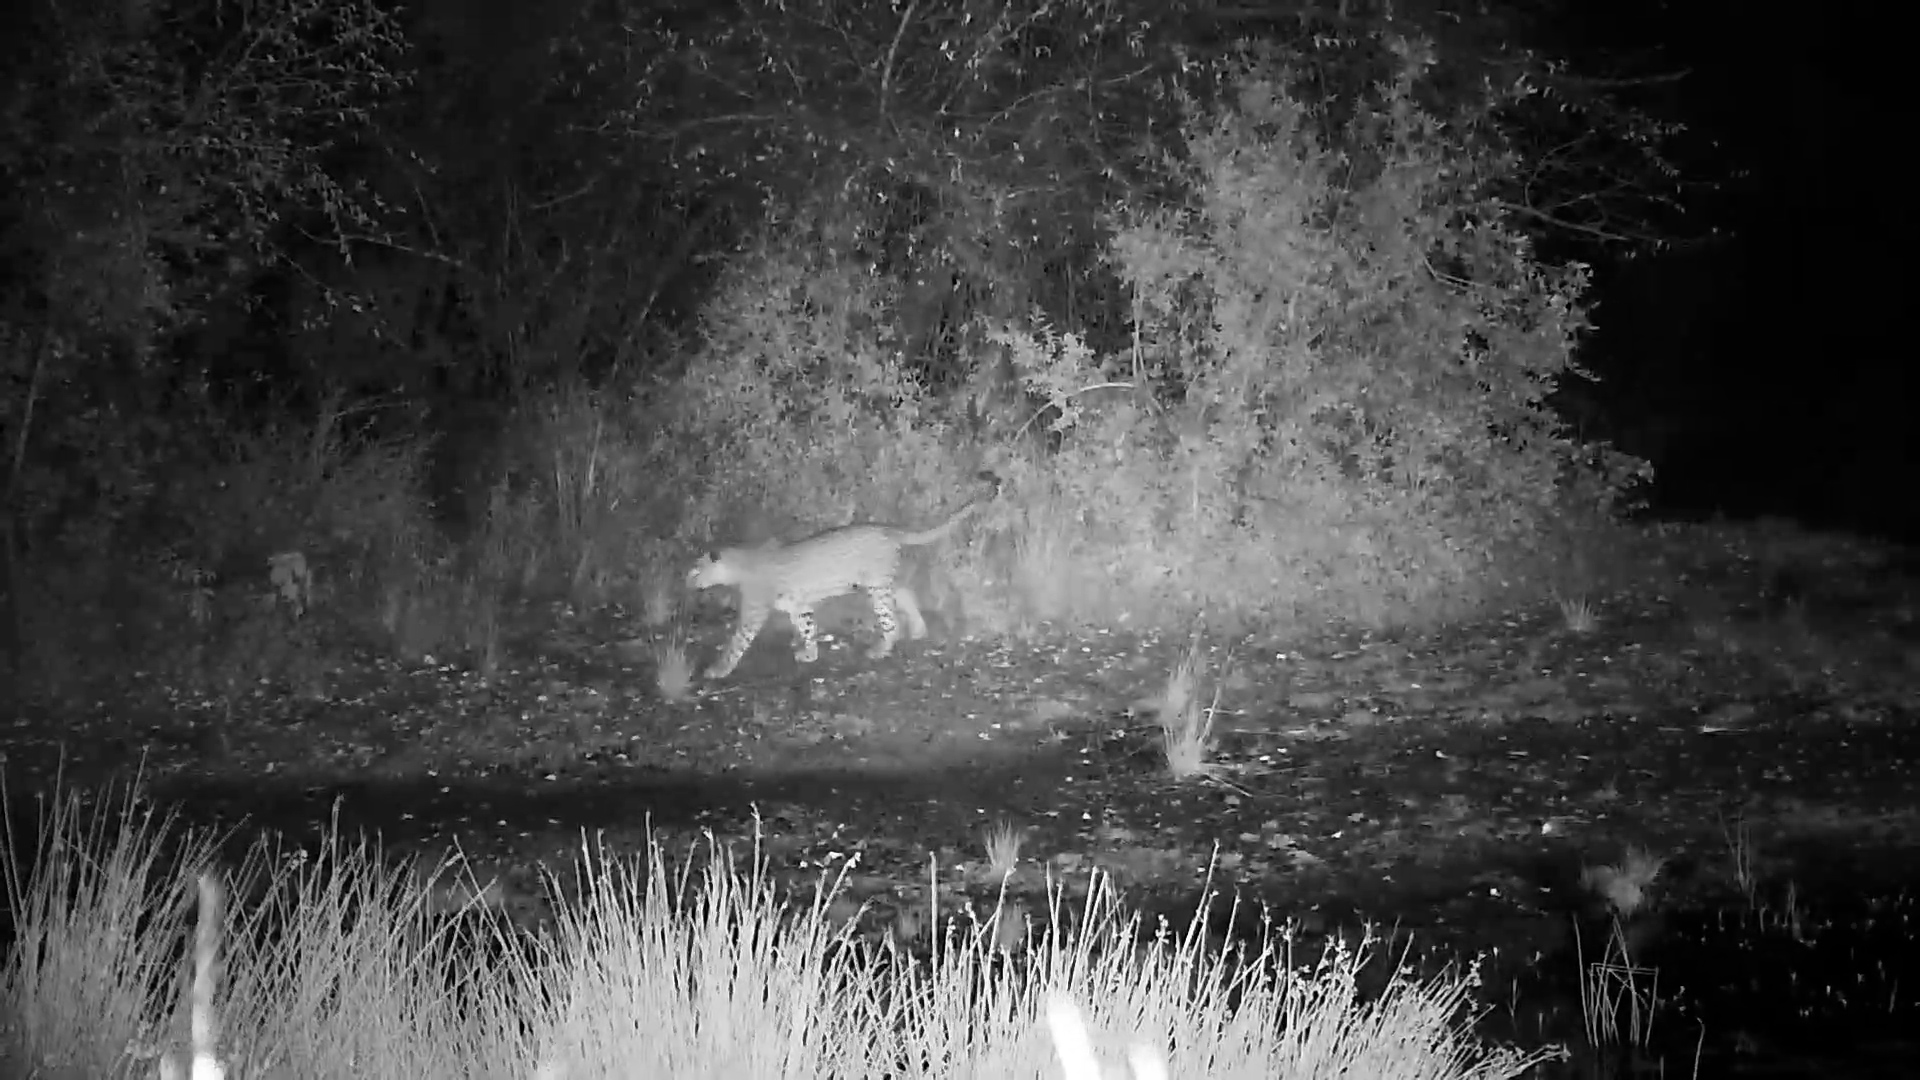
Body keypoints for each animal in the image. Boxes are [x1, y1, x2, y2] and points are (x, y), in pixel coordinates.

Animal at [686, 474, 999, 680]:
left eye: (696, 569)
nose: (687, 581)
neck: (739, 565)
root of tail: (886, 528)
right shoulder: (798, 605)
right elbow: (807, 627)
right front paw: (810, 654)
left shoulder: (753, 612)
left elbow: (736, 643)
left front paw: (718, 669)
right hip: (883, 580)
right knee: (906, 594)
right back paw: (918, 630)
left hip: (875, 587)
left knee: (891, 621)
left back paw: (880, 650)